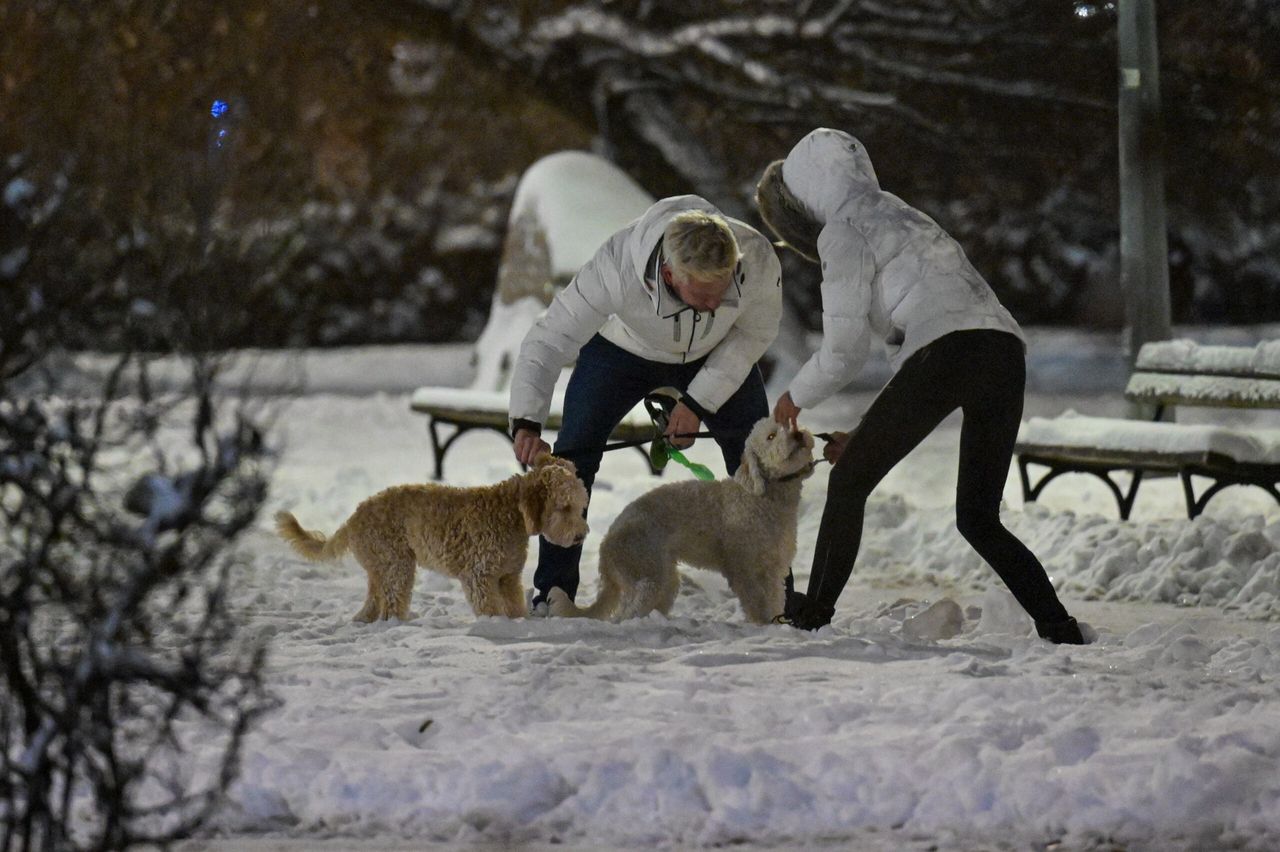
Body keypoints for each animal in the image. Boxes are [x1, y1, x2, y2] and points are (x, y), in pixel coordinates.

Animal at [277, 455, 586, 621]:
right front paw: (496, 625)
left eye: (580, 505)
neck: (511, 513)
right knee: (392, 603)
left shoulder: (507, 577)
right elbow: (490, 607)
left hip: (380, 567)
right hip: (397, 564)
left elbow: (514, 606)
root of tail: (354, 516)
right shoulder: (480, 576)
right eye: (564, 507)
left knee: (374, 601)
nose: (582, 536)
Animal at [547, 417, 808, 624]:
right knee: (625, 615)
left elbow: (774, 600)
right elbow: (757, 604)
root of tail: (607, 542)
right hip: (646, 574)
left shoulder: (773, 570)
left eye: (790, 423)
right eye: (771, 436)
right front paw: (764, 626)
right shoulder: (745, 569)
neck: (761, 496)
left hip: (663, 578)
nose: (798, 434)